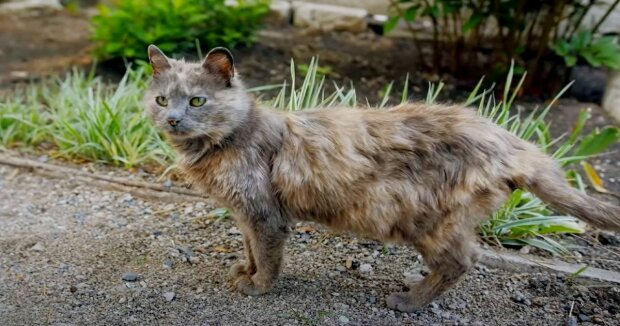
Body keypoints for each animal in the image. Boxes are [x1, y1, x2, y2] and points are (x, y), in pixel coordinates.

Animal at [144, 44, 620, 312]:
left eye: (198, 101)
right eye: (162, 99)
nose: (172, 119)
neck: (222, 144)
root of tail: (507, 138)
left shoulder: (265, 215)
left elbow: (268, 256)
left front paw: (259, 287)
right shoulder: (245, 214)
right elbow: (250, 249)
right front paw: (244, 271)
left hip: (425, 219)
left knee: (463, 260)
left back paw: (408, 302)